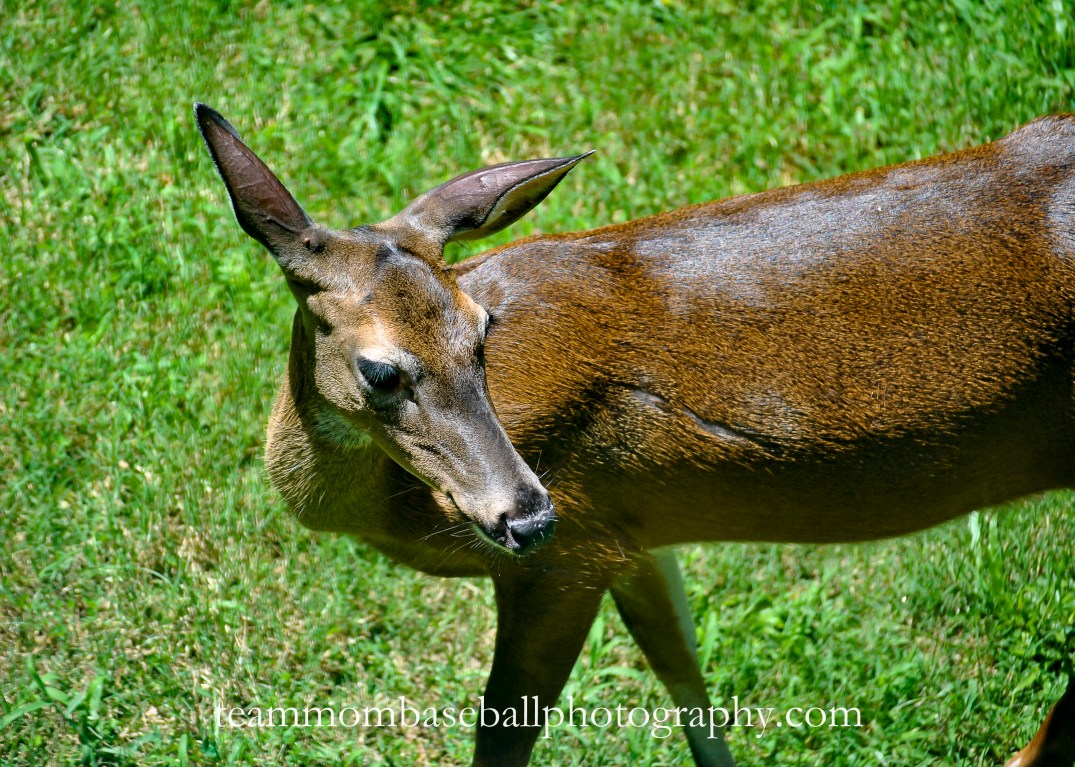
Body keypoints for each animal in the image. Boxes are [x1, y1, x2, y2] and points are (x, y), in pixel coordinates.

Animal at [195, 103, 1075, 766]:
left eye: (481, 333)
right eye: (381, 371)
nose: (524, 513)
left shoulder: (571, 549)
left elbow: (502, 735)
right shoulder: (630, 535)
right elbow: (689, 684)